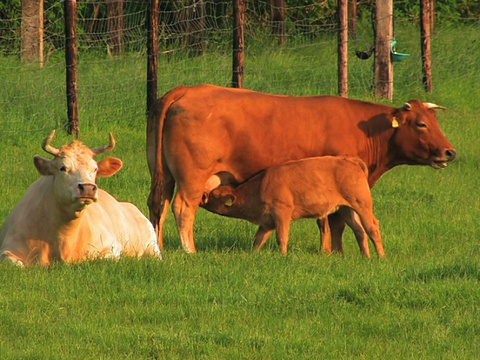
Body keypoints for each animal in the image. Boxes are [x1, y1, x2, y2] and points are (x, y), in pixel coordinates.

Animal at [201, 156, 384, 258]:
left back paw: (380, 257)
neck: (260, 186)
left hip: (362, 206)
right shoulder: (266, 222)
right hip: (346, 209)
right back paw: (366, 256)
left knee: (372, 227)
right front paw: (253, 254)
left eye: (214, 195)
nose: (202, 197)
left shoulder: (282, 214)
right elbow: (258, 240)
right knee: (359, 230)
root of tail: (351, 161)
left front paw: (282, 255)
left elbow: (282, 237)